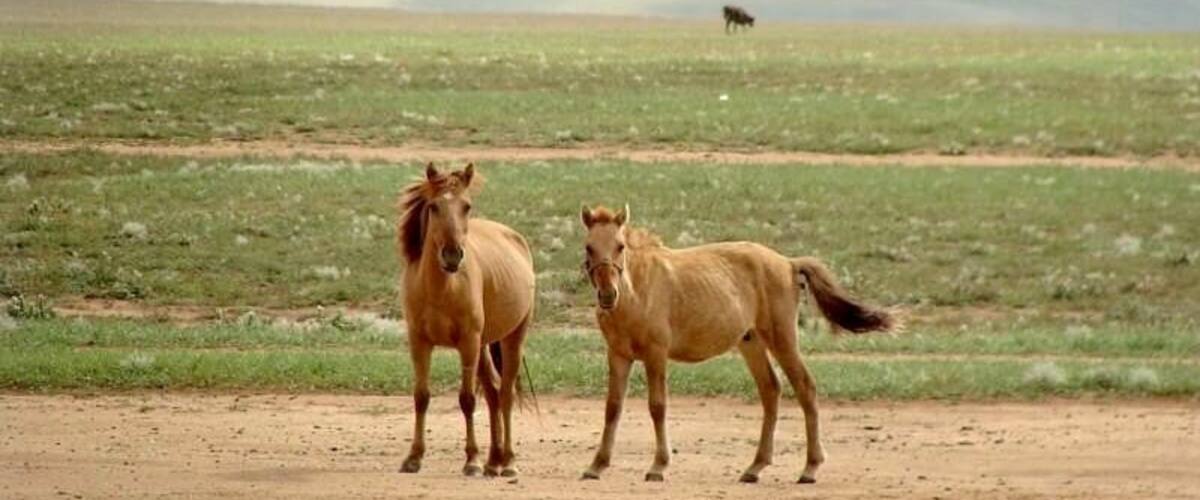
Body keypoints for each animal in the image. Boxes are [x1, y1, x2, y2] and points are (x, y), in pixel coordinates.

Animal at [395, 162, 536, 478]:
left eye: (467, 206)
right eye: (434, 206)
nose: (452, 255)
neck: (442, 288)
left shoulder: (468, 342)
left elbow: (467, 399)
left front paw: (471, 459)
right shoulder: (418, 342)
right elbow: (421, 396)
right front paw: (413, 457)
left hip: (511, 339)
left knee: (505, 394)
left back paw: (508, 462)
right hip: (484, 346)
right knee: (494, 393)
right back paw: (494, 461)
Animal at [577, 205, 898, 484]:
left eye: (620, 246)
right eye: (589, 247)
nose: (607, 295)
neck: (637, 291)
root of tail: (788, 264)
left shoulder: (656, 354)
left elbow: (657, 406)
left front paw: (658, 466)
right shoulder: (618, 354)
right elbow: (612, 407)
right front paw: (596, 466)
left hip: (782, 339)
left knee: (805, 387)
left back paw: (810, 468)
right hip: (751, 343)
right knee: (771, 390)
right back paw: (755, 468)